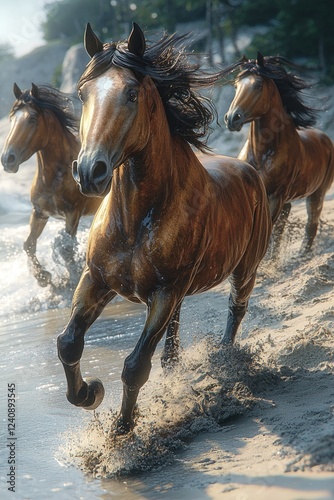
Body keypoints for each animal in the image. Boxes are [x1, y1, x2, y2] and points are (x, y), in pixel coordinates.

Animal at [0, 84, 102, 288]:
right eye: (12, 118)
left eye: (32, 119)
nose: (8, 159)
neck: (54, 178)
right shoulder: (39, 213)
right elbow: (29, 245)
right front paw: (44, 278)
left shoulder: (73, 214)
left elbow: (67, 251)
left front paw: (69, 282)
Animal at [56, 23, 272, 434]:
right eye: (82, 93)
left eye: (131, 93)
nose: (90, 171)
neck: (135, 223)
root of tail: (249, 170)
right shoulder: (96, 279)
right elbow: (69, 342)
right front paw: (91, 393)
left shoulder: (164, 292)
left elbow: (135, 366)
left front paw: (121, 432)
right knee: (173, 342)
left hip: (244, 270)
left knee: (236, 310)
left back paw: (225, 361)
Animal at [222, 54, 334, 254]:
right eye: (236, 85)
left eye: (258, 85)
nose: (232, 118)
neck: (261, 155)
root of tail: (325, 138)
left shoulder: (275, 197)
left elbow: (268, 236)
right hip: (289, 201)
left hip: (316, 195)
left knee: (310, 226)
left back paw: (301, 256)